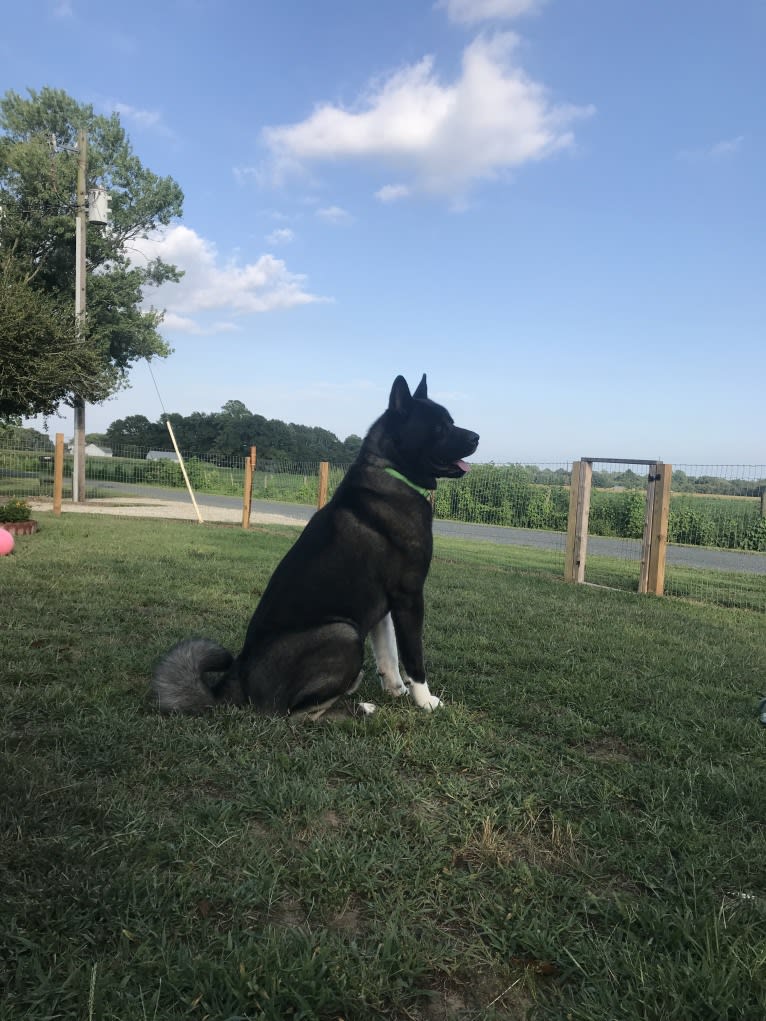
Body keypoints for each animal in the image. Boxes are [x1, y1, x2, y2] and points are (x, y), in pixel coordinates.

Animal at [150, 375, 480, 718]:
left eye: (450, 421)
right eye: (439, 427)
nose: (476, 437)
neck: (392, 471)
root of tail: (233, 684)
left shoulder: (385, 606)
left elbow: (388, 654)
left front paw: (396, 690)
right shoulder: (409, 596)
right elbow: (414, 658)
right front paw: (425, 700)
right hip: (344, 633)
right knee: (297, 714)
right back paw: (359, 709)